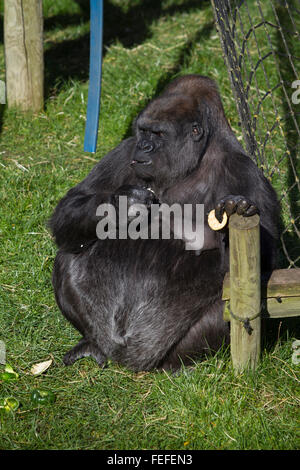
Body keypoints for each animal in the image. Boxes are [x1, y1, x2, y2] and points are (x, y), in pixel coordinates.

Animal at [49, 75, 278, 372]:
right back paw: (91, 343)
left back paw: (177, 364)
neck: (194, 162)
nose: (144, 147)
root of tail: (127, 356)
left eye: (158, 134)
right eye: (143, 131)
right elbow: (71, 206)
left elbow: (264, 268)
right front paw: (121, 204)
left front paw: (230, 225)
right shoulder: (124, 150)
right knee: (70, 251)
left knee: (229, 297)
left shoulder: (244, 169)